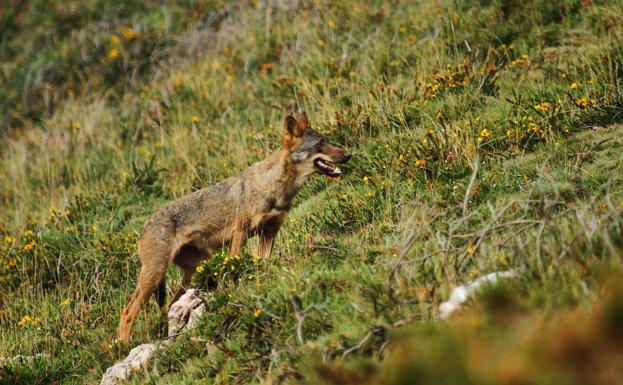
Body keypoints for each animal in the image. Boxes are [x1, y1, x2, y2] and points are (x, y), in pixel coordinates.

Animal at [117, 105, 352, 340]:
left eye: (327, 140)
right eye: (320, 144)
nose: (348, 155)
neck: (273, 188)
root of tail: (145, 225)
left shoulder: (269, 233)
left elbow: (262, 264)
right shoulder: (240, 234)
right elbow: (235, 270)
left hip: (194, 269)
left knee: (169, 306)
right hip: (156, 274)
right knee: (127, 312)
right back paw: (123, 343)